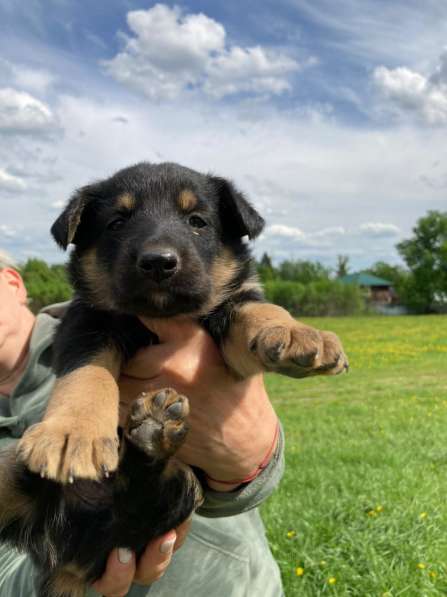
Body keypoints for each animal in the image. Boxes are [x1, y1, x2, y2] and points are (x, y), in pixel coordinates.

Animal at [0, 162, 350, 596]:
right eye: (117, 222)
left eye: (197, 221)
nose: (158, 262)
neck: (161, 316)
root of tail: (62, 557)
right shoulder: (87, 321)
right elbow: (89, 375)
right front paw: (72, 433)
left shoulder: (229, 330)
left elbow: (257, 308)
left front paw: (297, 333)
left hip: (180, 489)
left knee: (144, 485)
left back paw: (154, 432)